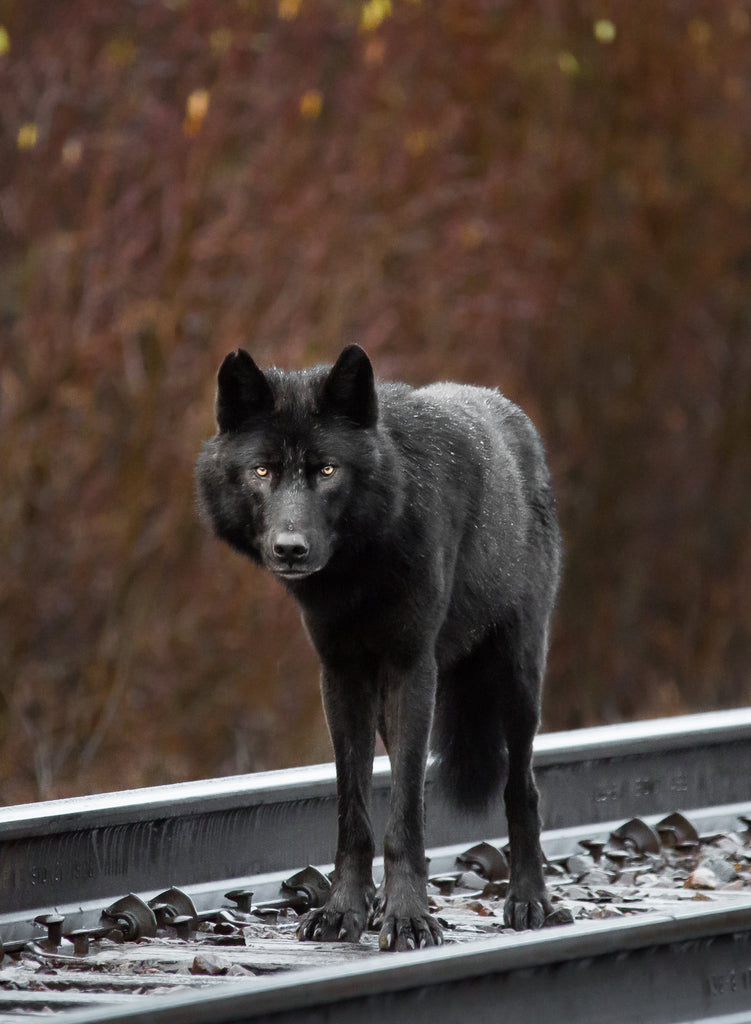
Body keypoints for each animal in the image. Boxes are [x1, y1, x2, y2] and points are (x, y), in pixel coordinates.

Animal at [195, 345, 561, 951]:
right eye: (263, 470)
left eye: (326, 470)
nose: (290, 548)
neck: (360, 568)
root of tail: (512, 413)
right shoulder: (341, 676)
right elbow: (357, 811)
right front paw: (344, 910)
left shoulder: (412, 669)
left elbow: (406, 816)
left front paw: (409, 919)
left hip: (516, 678)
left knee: (522, 790)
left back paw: (529, 901)